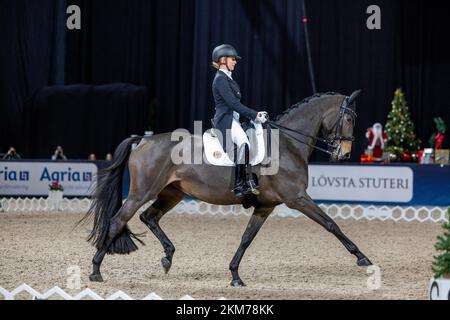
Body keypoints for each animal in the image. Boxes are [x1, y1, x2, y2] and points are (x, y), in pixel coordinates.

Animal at [81, 91, 372, 286]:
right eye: (349, 119)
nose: (344, 154)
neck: (287, 144)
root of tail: (143, 139)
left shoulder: (265, 206)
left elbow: (246, 238)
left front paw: (234, 275)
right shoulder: (297, 198)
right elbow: (331, 224)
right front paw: (362, 257)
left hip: (172, 193)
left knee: (148, 217)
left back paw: (167, 257)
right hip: (141, 193)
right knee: (117, 221)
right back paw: (95, 271)